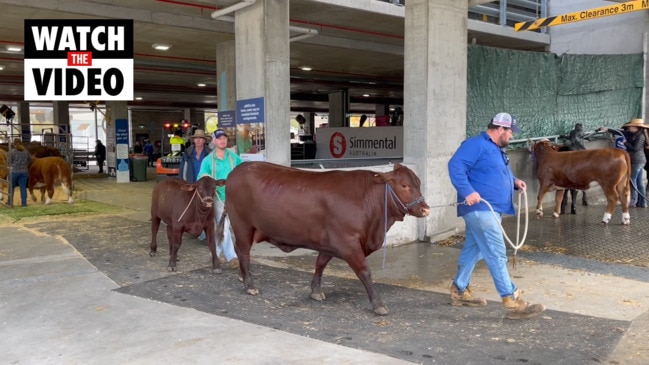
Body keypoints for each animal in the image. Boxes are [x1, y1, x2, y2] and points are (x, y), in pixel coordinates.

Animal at [218, 161, 430, 314]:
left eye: (419, 183)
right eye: (404, 185)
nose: (425, 209)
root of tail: (236, 171)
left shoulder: (329, 244)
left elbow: (320, 264)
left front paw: (315, 290)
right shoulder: (348, 243)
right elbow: (365, 272)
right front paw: (378, 303)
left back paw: (243, 277)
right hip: (242, 225)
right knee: (243, 251)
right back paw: (249, 284)